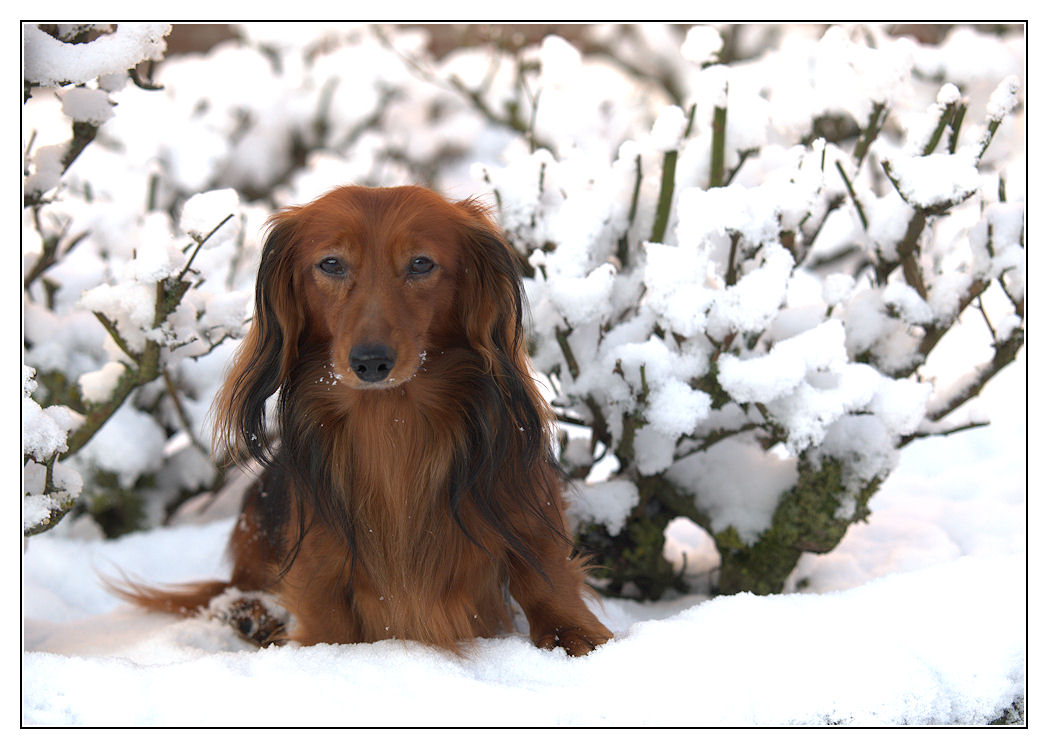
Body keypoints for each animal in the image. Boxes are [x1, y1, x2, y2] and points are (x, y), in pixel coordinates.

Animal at [119, 186, 612, 657]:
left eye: (420, 263)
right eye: (331, 263)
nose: (370, 362)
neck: (392, 422)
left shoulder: (525, 500)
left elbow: (545, 574)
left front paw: (575, 635)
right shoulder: (319, 562)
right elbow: (329, 625)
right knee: (237, 588)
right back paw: (250, 613)